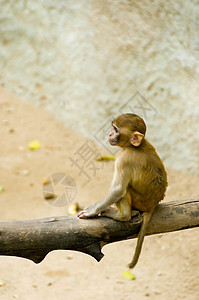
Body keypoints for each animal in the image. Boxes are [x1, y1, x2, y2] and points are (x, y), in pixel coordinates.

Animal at [77, 113, 167, 268]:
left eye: (116, 130)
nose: (110, 134)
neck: (134, 146)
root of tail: (152, 205)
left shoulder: (123, 159)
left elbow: (118, 189)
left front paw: (92, 211)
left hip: (139, 201)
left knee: (125, 189)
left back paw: (123, 215)